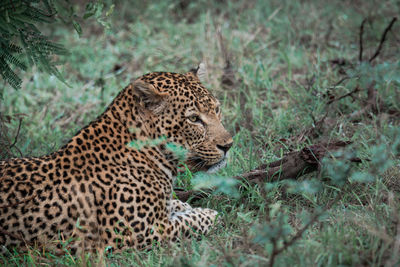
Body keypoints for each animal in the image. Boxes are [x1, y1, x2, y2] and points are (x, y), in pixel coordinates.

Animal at [0, 65, 233, 255]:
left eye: (217, 109)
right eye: (194, 119)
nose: (228, 145)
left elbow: (175, 206)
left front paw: (183, 205)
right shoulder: (137, 233)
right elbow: (188, 223)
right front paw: (210, 214)